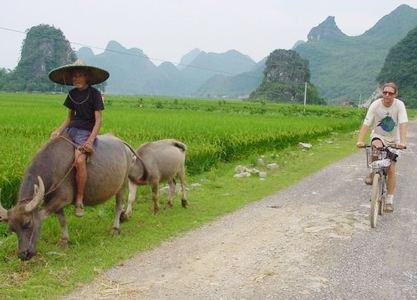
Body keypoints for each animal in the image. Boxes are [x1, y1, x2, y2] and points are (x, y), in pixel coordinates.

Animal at [0, 134, 143, 260]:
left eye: (28, 224)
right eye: (12, 229)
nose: (23, 255)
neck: (52, 166)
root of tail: (122, 143)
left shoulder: (63, 198)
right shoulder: (53, 201)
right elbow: (62, 220)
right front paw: (64, 240)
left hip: (122, 185)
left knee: (118, 206)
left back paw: (115, 229)